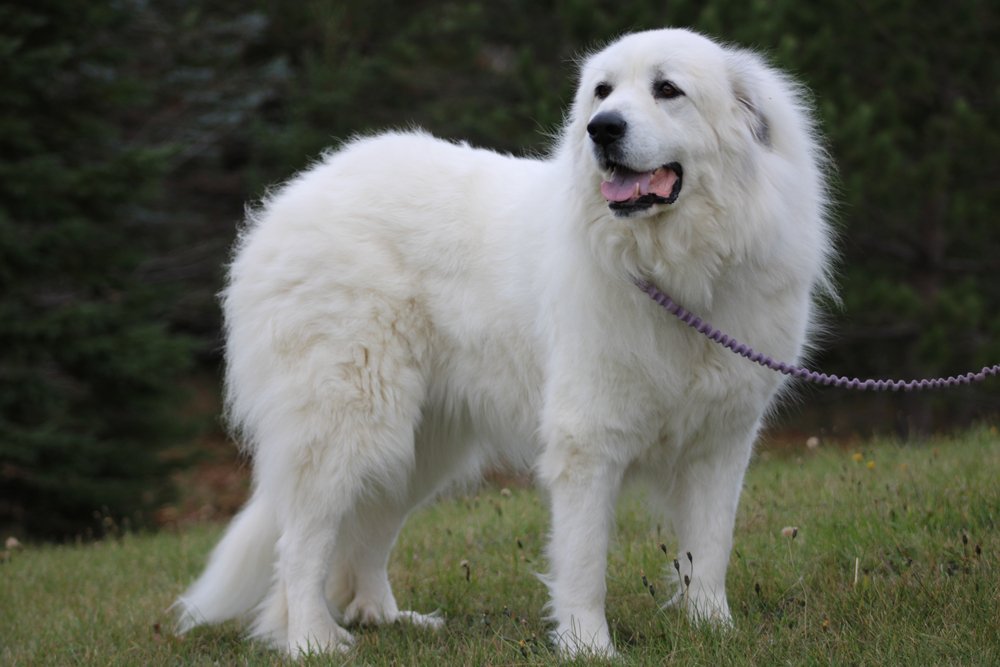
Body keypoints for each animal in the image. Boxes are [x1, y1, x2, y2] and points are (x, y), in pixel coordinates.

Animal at [176, 27, 832, 656]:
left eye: (667, 89)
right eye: (602, 92)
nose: (602, 128)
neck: (676, 270)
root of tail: (294, 194)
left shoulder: (723, 440)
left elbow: (711, 548)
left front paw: (714, 630)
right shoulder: (588, 438)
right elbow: (584, 561)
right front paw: (588, 646)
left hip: (417, 443)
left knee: (365, 532)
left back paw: (385, 619)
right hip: (348, 422)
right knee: (301, 543)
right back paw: (311, 640)